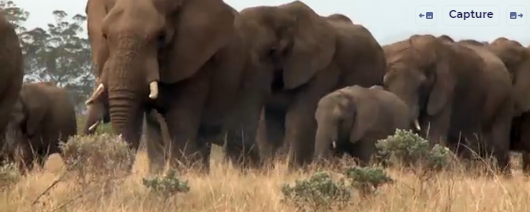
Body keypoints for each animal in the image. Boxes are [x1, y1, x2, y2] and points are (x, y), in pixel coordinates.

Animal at [223, 1, 384, 171]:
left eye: (272, 51)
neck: (280, 12)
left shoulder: (323, 69)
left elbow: (300, 117)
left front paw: (293, 170)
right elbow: (270, 123)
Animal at [380, 34, 512, 174]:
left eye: (422, 85)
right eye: (386, 83)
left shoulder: (445, 89)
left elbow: (434, 135)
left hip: (504, 100)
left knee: (495, 144)